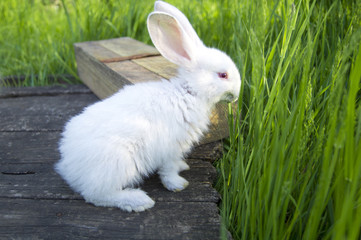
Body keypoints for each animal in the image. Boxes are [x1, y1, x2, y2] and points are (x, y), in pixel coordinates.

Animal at [54, 0, 240, 213]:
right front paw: (178, 184)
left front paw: (183, 166)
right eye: (223, 75)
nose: (236, 95)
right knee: (97, 195)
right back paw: (138, 201)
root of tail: (69, 165)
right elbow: (168, 171)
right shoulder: (171, 148)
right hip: (118, 164)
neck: (189, 93)